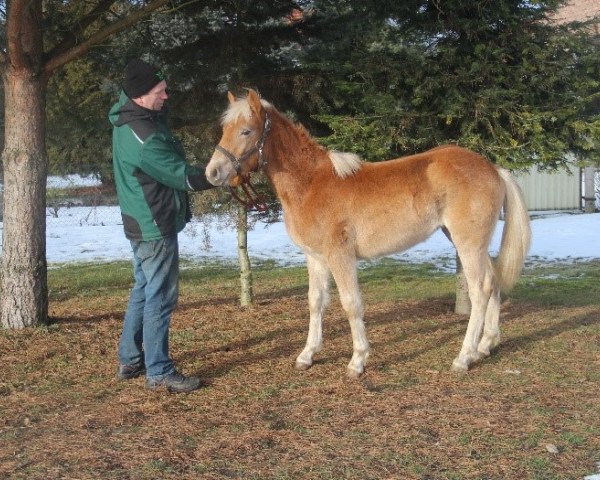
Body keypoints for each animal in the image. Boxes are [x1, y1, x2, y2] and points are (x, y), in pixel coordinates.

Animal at [205, 88, 528, 376]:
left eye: (246, 131)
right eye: (224, 129)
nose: (212, 173)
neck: (310, 183)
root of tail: (494, 169)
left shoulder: (340, 256)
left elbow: (351, 304)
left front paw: (357, 361)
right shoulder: (315, 257)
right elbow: (315, 302)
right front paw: (307, 355)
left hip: (468, 244)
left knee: (480, 290)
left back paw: (464, 357)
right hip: (471, 243)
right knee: (492, 281)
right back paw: (485, 346)